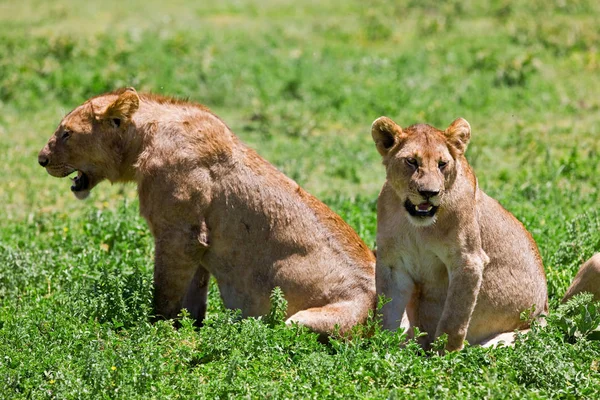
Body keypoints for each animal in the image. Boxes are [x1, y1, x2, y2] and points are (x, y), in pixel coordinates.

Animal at [37, 88, 376, 338]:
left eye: (66, 133)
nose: (41, 159)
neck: (143, 139)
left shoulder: (178, 234)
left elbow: (165, 293)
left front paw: (154, 332)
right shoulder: (197, 242)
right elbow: (192, 296)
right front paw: (190, 330)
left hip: (302, 321)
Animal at [372, 116, 552, 350]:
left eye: (442, 164)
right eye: (411, 161)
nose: (429, 193)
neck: (418, 228)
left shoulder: (468, 260)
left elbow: (454, 318)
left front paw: (444, 355)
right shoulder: (393, 264)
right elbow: (387, 314)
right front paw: (384, 349)